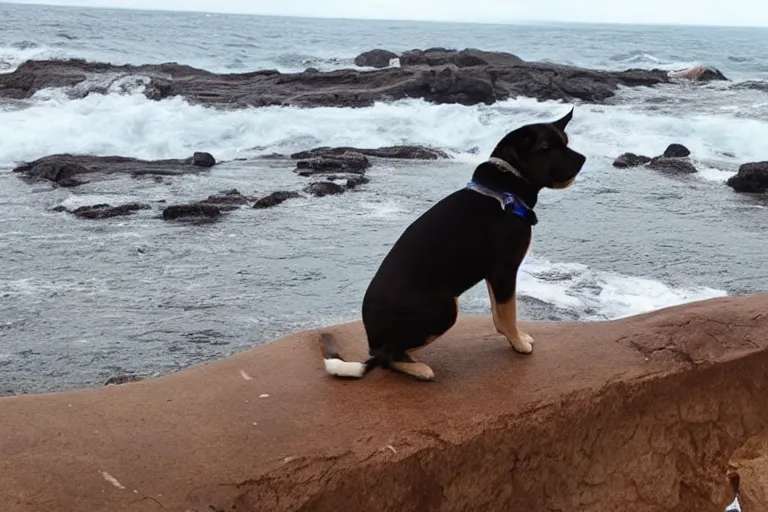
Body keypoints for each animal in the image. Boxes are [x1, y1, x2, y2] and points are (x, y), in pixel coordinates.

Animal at [320, 107, 584, 380]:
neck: (503, 191)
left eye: (565, 142)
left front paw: (516, 338)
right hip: (445, 308)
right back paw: (418, 369)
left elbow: (499, 316)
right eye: (545, 148)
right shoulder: (504, 271)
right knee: (384, 356)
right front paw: (519, 343)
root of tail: (371, 337)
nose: (583, 159)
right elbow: (508, 314)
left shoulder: (493, 275)